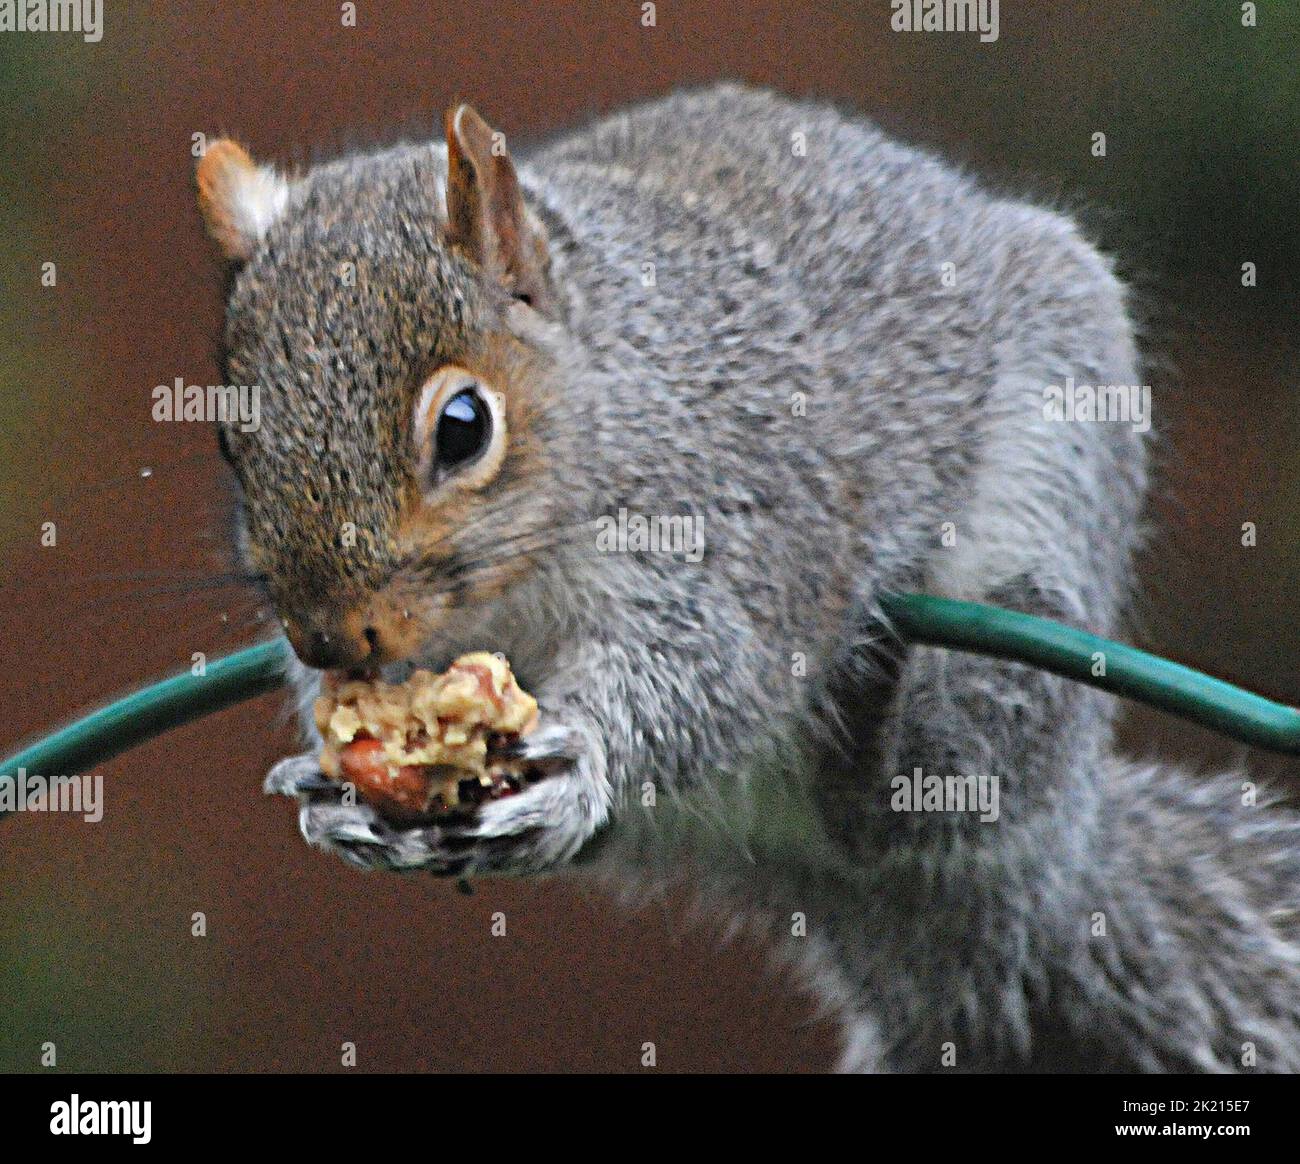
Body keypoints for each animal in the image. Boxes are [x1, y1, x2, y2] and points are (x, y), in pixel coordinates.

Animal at [197, 86, 1300, 1071]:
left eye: (464, 427)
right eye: (228, 438)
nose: (330, 637)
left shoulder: (737, 526)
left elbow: (715, 674)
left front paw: (583, 753)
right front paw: (326, 786)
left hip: (1061, 455)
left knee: (982, 768)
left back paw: (938, 711)